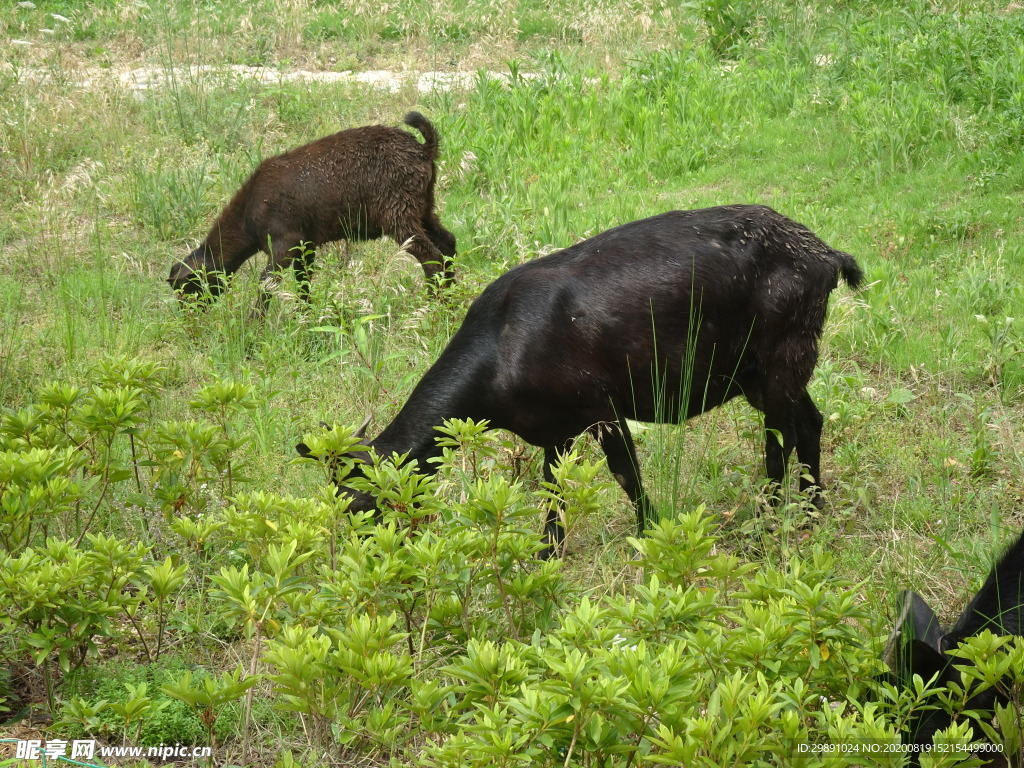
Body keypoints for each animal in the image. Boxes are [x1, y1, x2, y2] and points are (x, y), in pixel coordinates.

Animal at [168, 112, 456, 317]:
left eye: (188, 289)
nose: (192, 321)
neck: (247, 216)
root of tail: (424, 149)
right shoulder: (305, 246)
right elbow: (303, 283)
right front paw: (305, 317)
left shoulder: (285, 244)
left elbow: (266, 283)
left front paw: (255, 324)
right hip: (423, 207)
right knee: (448, 244)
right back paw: (452, 297)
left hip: (398, 213)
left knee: (432, 257)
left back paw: (434, 306)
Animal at [299, 201, 864, 557]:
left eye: (363, 504)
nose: (366, 559)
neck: (504, 349)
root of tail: (826, 256)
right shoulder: (553, 431)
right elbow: (553, 493)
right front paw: (547, 556)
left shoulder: (603, 409)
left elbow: (626, 476)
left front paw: (648, 535)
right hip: (761, 374)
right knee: (809, 423)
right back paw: (811, 512)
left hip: (781, 359)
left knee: (780, 439)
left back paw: (770, 523)